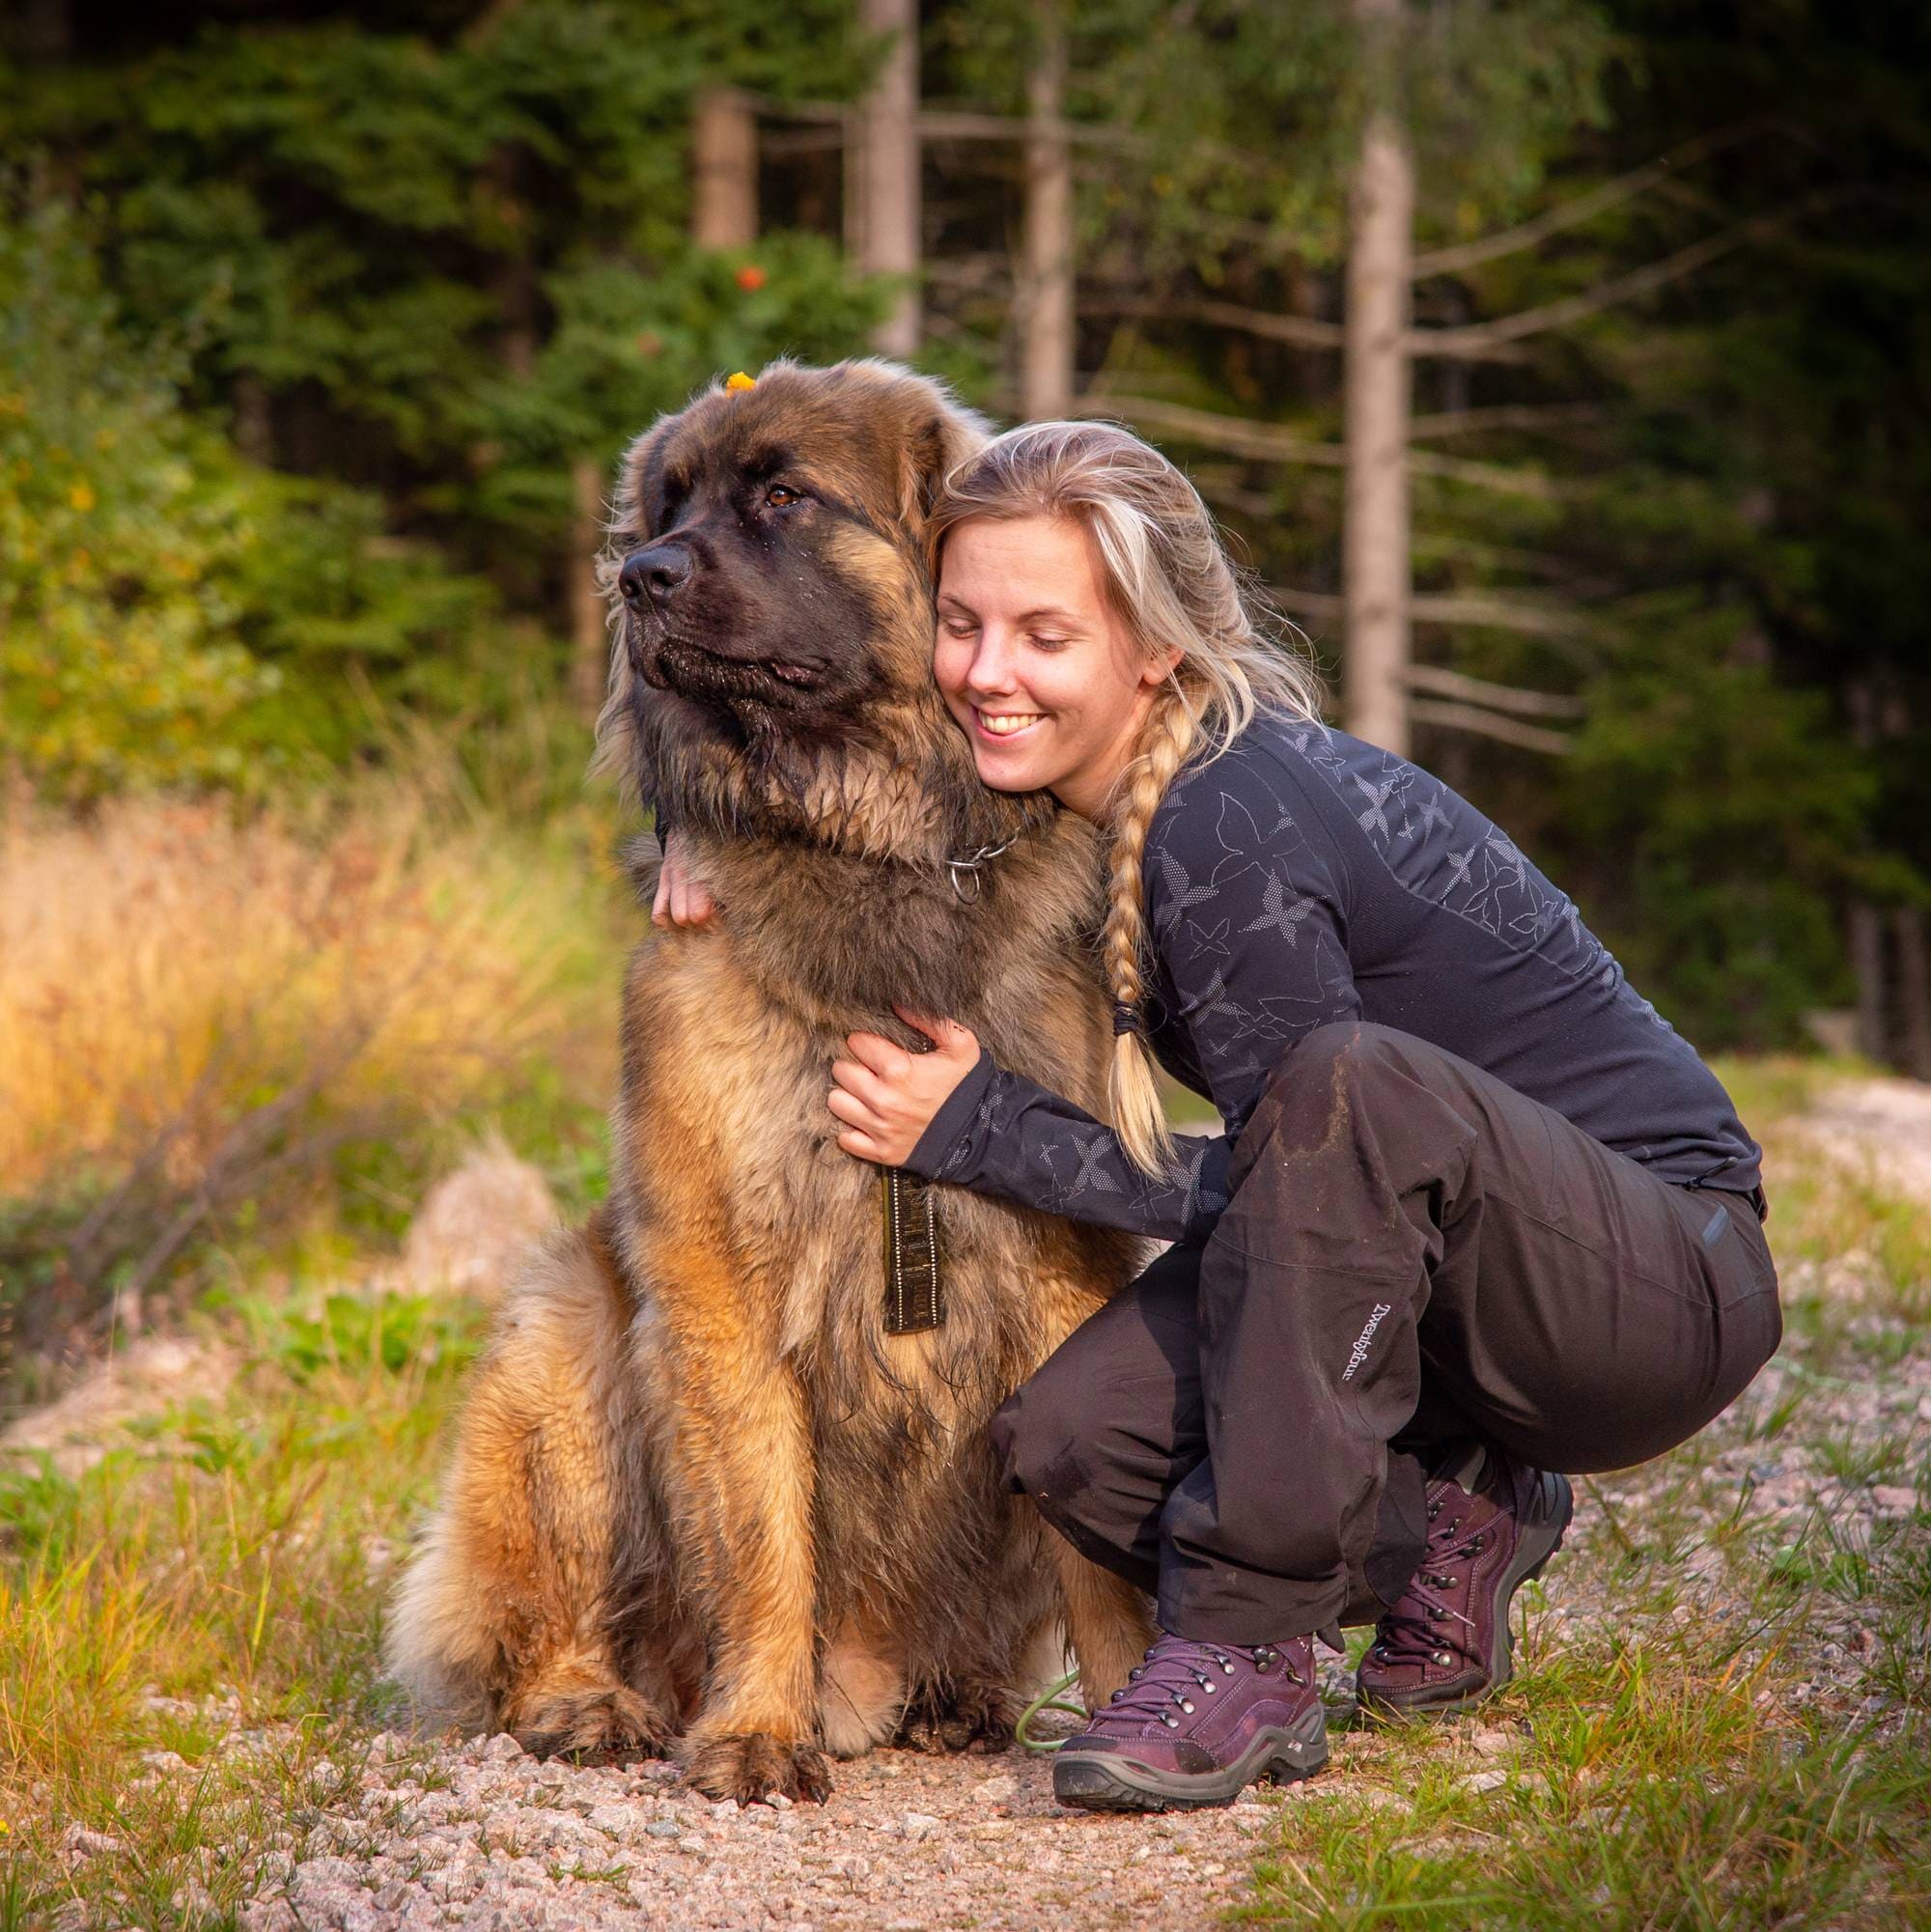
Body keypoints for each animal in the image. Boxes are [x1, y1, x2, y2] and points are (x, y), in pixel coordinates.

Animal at [384, 359, 1151, 1792]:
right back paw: (591, 1702)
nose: (638, 578)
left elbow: (1099, 1563)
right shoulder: (715, 1268)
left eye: (784, 495)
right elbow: (757, 1523)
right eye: (668, 503)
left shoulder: (1061, 1265)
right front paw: (755, 1730)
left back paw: (958, 1696)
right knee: (542, 1620)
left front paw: (1140, 1694)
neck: (867, 841)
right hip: (563, 1339)